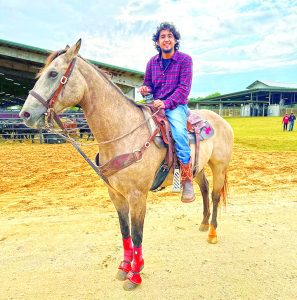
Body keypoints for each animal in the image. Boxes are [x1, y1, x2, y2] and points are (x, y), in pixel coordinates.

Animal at [19, 39, 234, 290]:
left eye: (53, 73)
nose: (25, 114)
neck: (122, 132)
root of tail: (221, 121)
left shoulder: (137, 196)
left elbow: (137, 233)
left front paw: (136, 274)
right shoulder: (116, 194)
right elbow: (125, 231)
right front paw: (124, 267)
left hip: (219, 167)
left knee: (216, 195)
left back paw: (212, 233)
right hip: (197, 167)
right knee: (204, 189)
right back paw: (202, 222)